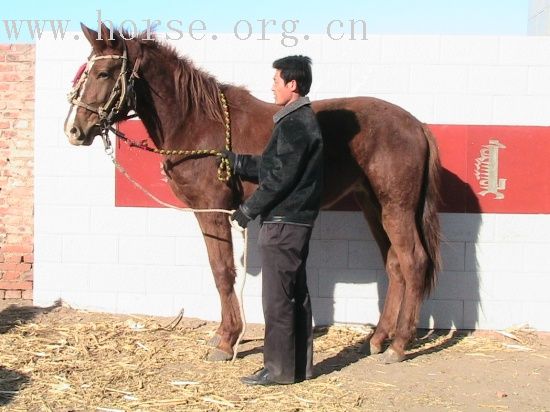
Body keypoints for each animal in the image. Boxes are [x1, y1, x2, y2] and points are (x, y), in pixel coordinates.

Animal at [64, 23, 444, 364]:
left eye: (104, 73)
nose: (74, 130)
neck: (197, 122)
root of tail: (416, 125)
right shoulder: (205, 213)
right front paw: (224, 334)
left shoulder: (213, 210)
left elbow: (222, 271)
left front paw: (226, 340)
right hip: (373, 205)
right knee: (394, 264)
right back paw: (379, 339)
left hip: (397, 208)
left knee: (413, 262)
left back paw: (399, 345)